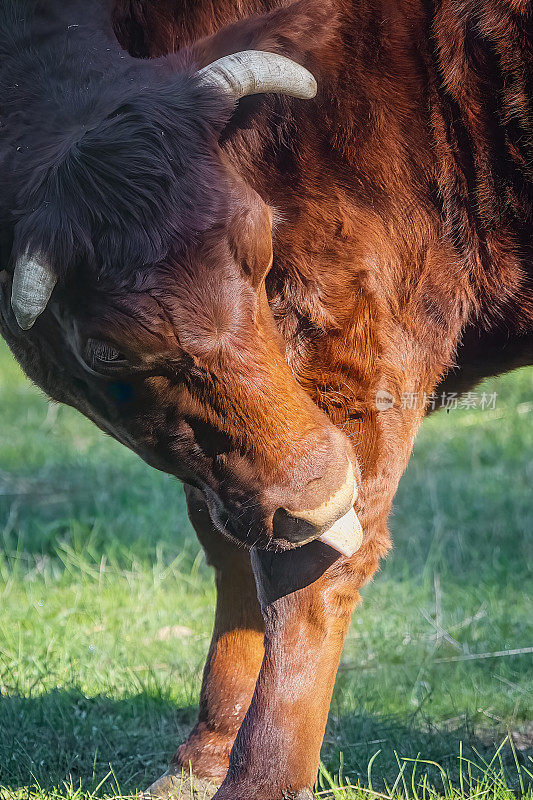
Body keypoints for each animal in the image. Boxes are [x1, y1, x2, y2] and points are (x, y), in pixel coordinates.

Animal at [0, 0, 528, 796]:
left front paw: (261, 776)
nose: (320, 486)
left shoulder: (354, 338)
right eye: (105, 349)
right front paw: (203, 754)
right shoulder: (236, 465)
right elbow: (232, 547)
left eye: (260, 245)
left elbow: (307, 570)